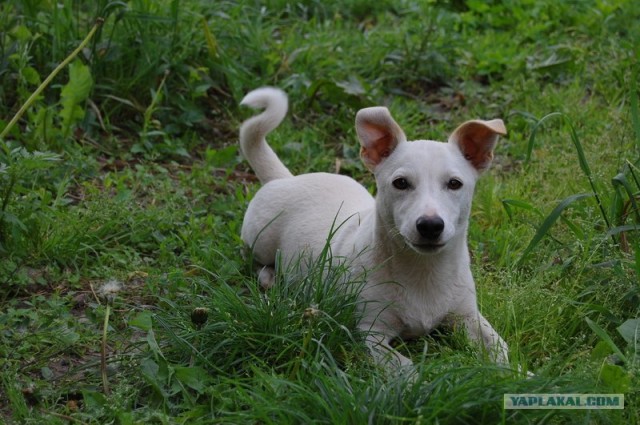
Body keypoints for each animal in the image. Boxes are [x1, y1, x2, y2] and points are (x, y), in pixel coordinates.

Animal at [240, 87, 510, 368]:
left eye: (455, 184)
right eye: (400, 183)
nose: (430, 225)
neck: (424, 270)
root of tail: (284, 179)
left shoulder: (468, 316)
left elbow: (500, 348)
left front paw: (513, 374)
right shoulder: (371, 333)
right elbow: (404, 367)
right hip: (260, 239)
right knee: (253, 259)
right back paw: (271, 278)